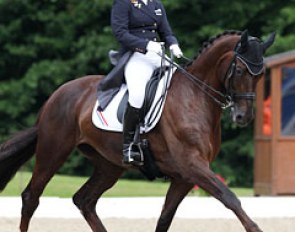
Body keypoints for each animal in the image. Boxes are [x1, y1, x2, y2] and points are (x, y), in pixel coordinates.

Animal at [0, 30, 276, 232]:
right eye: (239, 70)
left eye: (260, 74)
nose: (243, 117)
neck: (195, 97)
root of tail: (56, 95)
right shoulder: (192, 166)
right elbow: (230, 198)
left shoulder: (185, 176)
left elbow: (164, 219)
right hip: (53, 151)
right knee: (31, 197)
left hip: (109, 165)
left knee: (84, 200)